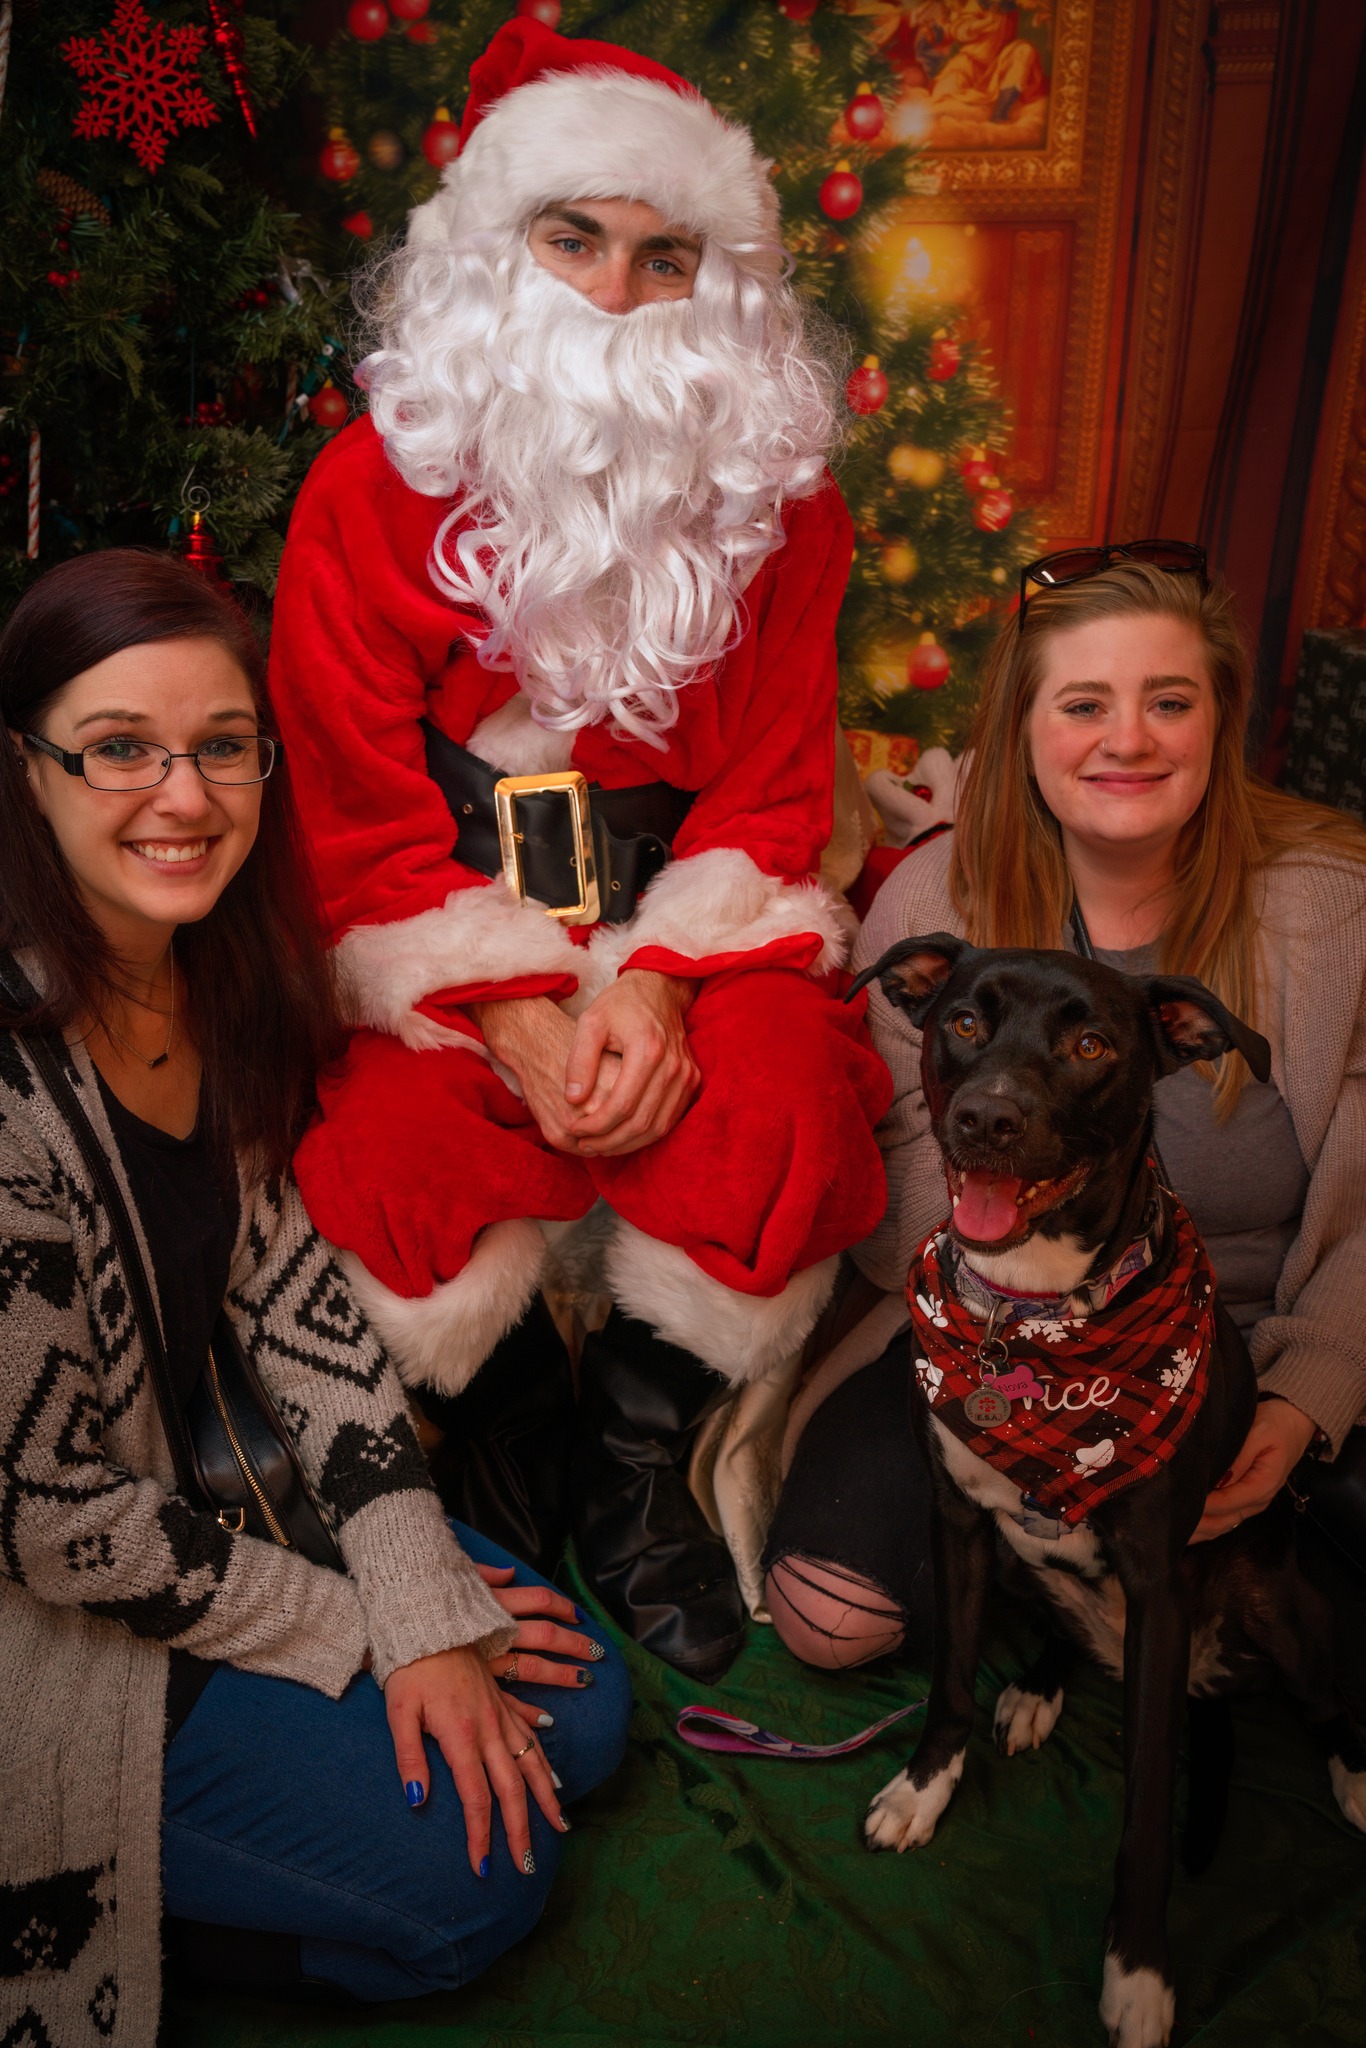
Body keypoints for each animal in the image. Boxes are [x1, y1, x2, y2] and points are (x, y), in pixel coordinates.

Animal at [846, 934, 1366, 2048]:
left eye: (1090, 1045)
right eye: (963, 1021)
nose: (985, 1117)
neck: (1036, 1318)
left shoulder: (1160, 1584)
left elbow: (1145, 1812)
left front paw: (1137, 1972)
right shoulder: (957, 1524)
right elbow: (949, 1681)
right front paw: (923, 1789)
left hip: (1278, 1599)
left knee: (1326, 1696)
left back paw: (1354, 1773)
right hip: (1021, 1561)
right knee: (1058, 1626)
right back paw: (1038, 1686)